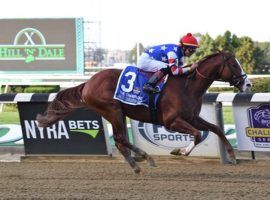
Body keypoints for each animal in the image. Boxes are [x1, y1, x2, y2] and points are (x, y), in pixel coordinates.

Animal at [35, 51, 251, 173]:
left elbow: (215, 128)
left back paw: (140, 160)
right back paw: (141, 160)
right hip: (112, 110)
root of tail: (88, 83)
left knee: (120, 139)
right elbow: (197, 135)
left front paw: (232, 156)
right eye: (233, 64)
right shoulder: (171, 121)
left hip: (118, 113)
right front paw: (180, 151)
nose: (247, 84)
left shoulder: (192, 117)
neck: (188, 86)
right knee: (120, 138)